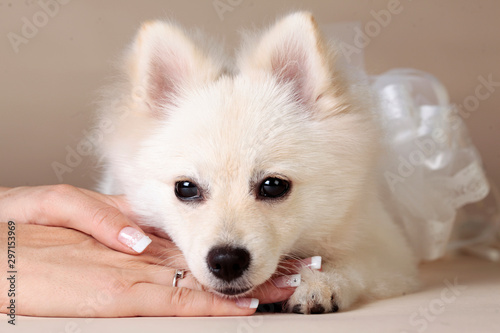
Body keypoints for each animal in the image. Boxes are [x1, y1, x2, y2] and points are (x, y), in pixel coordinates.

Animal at [96, 11, 418, 312]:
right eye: (185, 188)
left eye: (273, 185)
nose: (226, 261)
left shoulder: (390, 253)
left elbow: (354, 261)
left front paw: (318, 282)